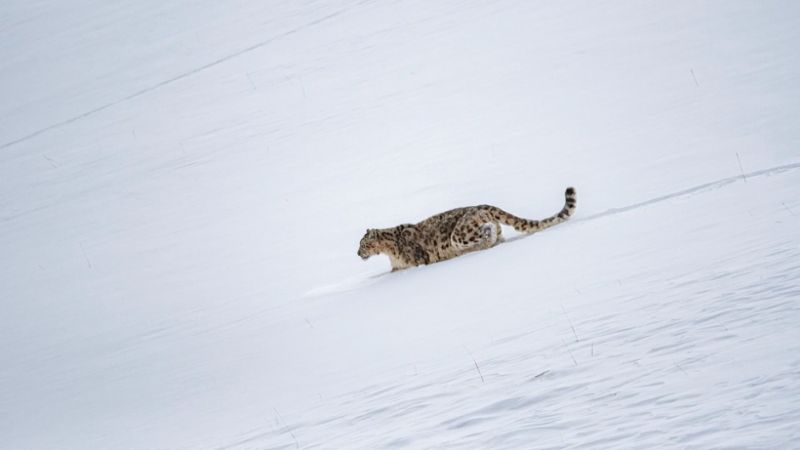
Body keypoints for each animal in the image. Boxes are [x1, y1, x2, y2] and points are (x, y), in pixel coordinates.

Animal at [358, 187, 576, 271]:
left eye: (362, 244)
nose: (358, 253)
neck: (389, 252)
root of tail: (481, 205)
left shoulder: (417, 262)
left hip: (459, 234)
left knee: (486, 232)